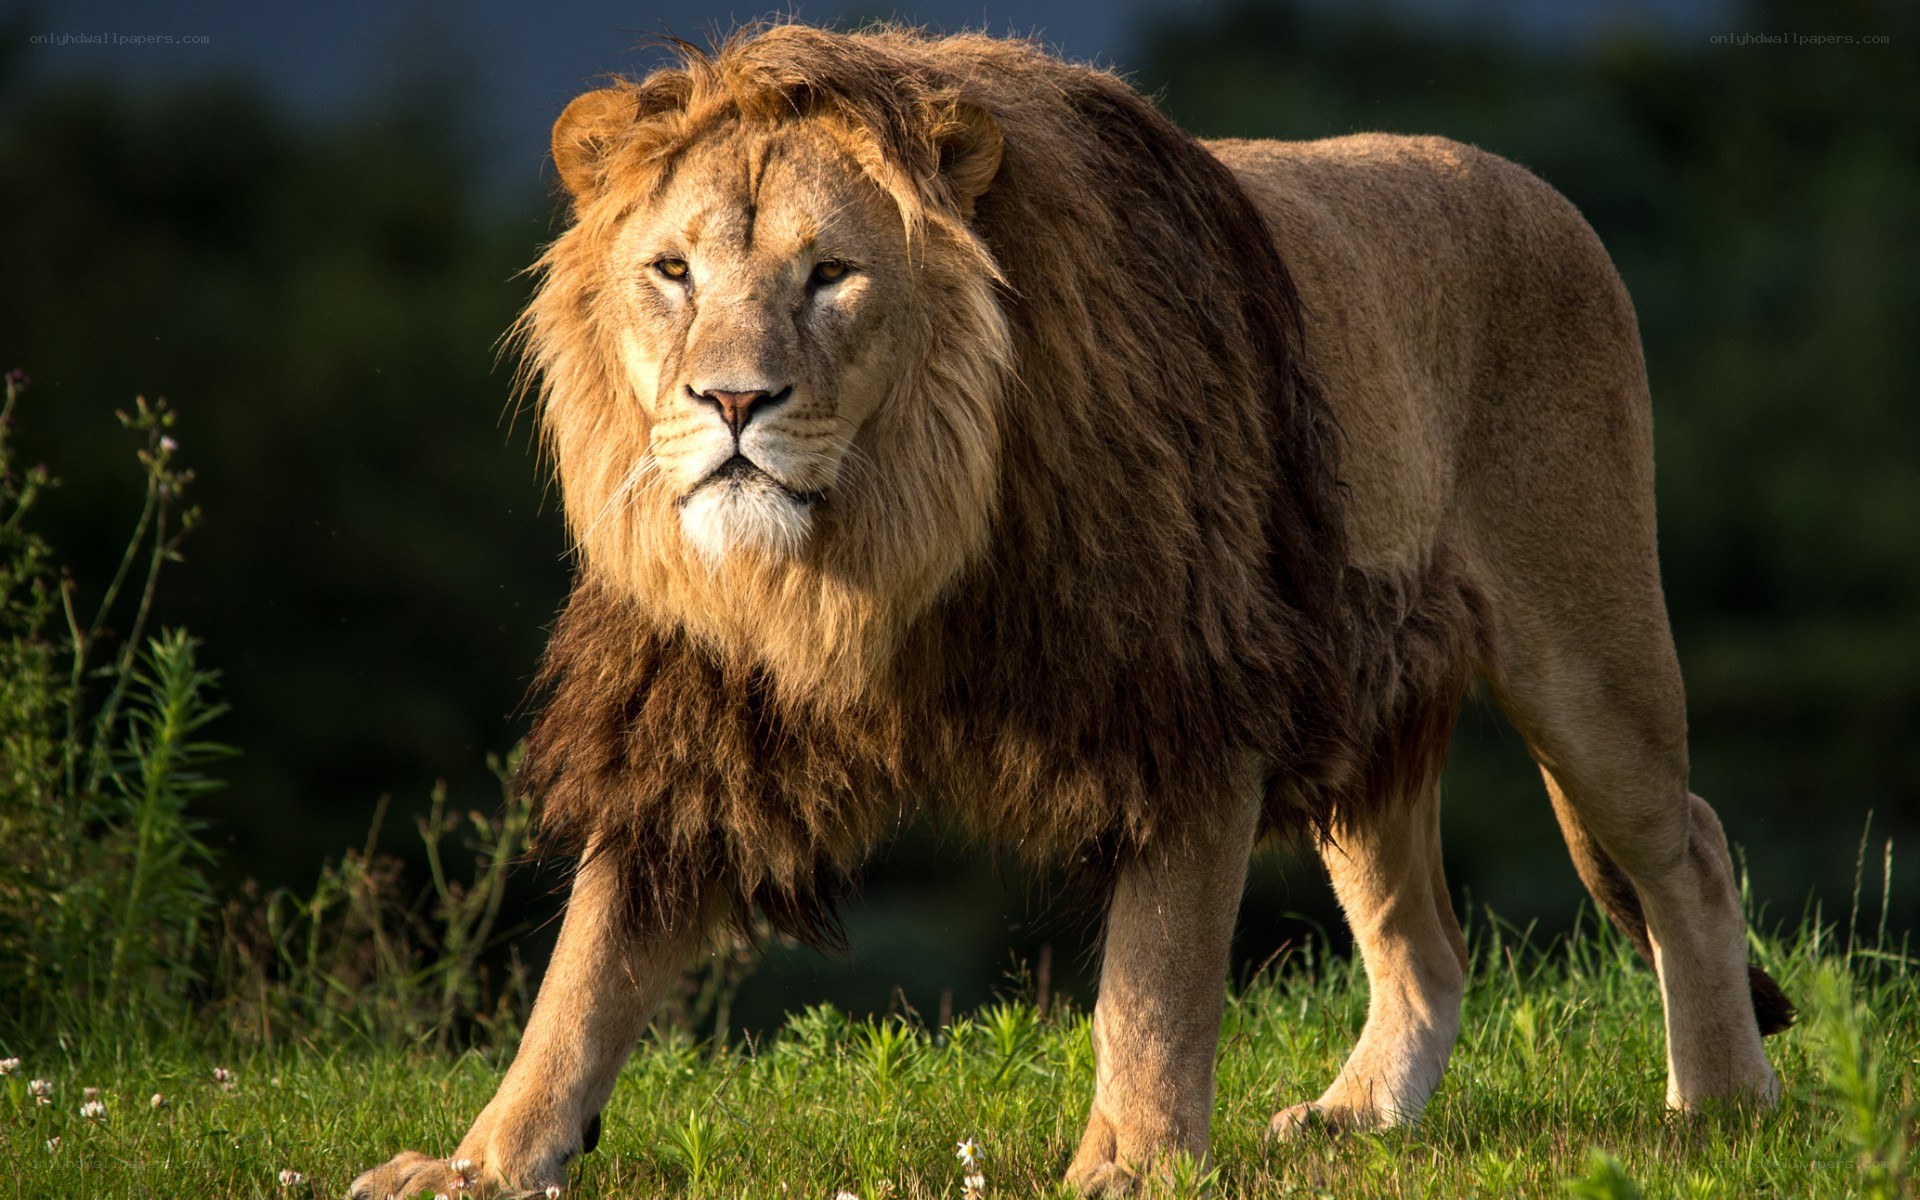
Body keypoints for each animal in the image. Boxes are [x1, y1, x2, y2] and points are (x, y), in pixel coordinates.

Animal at [351, 24, 1792, 1198]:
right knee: (1423, 938)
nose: (733, 402)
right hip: (1361, 674)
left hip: (1584, 650)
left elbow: (1153, 977)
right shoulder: (695, 711)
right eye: (671, 272)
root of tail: (1533, 186)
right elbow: (586, 972)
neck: (874, 543)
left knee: (1690, 847)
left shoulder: (1184, 683)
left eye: (832, 275)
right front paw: (482, 1161)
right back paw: (1360, 1117)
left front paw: (1135, 1166)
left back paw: (1720, 1110)